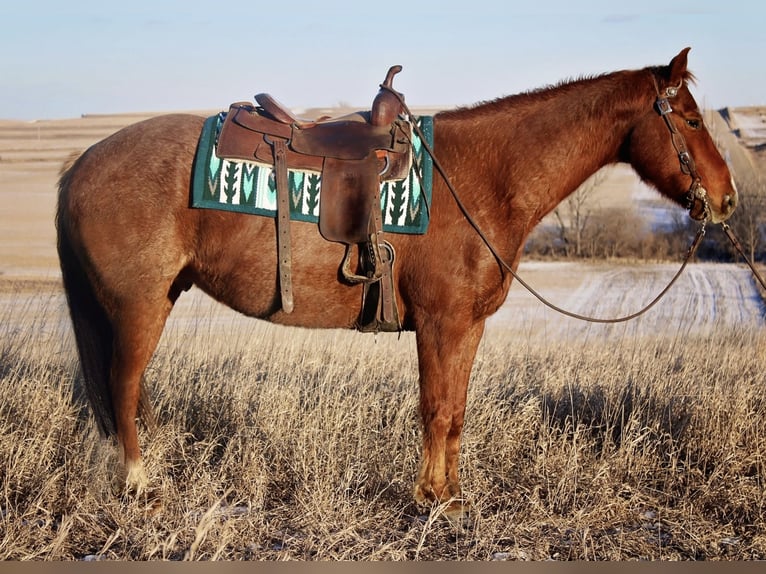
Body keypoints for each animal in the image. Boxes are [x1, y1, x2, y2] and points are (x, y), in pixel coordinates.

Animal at [54, 47, 736, 516]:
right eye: (691, 120)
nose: (727, 200)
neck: (486, 177)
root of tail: (80, 163)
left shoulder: (466, 328)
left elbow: (455, 412)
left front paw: (451, 495)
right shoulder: (441, 323)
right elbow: (436, 410)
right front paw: (432, 500)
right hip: (139, 307)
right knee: (122, 386)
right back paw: (139, 484)